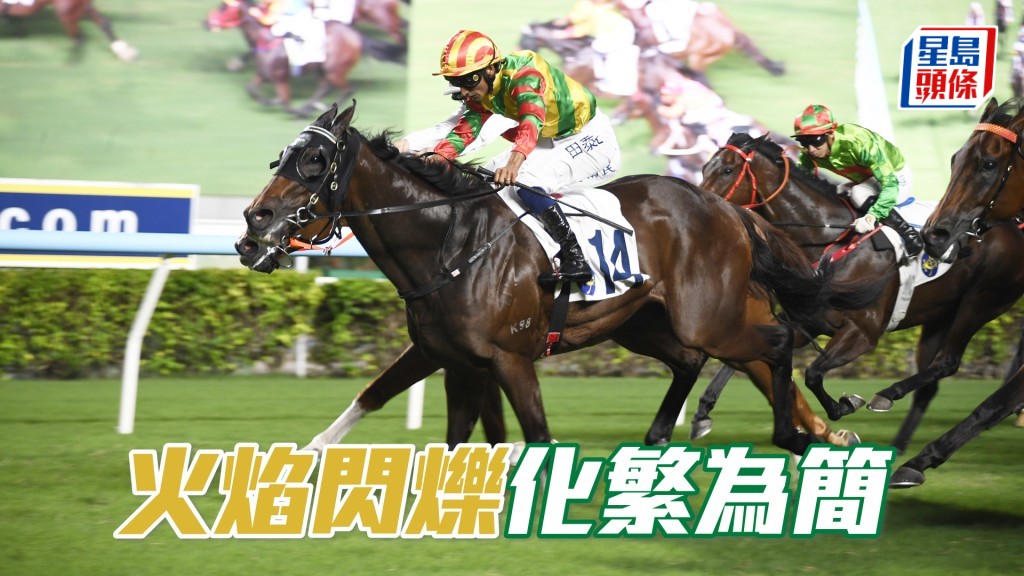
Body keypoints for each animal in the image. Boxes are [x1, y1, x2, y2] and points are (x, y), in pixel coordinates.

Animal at [234, 101, 884, 456]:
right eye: (279, 158)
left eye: (314, 162)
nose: (251, 226)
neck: (450, 244)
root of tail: (727, 208)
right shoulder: (449, 357)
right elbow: (380, 400)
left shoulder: (509, 357)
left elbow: (536, 434)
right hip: (642, 321)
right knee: (694, 360)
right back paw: (663, 437)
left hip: (709, 316)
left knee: (773, 343)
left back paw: (801, 432)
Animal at [694, 132, 1024, 456]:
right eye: (705, 167)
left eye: (727, 170)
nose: (702, 206)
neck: (828, 240)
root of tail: (1009, 225)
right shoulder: (807, 322)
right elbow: (748, 357)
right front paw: (702, 414)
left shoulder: (863, 333)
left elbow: (813, 373)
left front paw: (844, 406)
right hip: (939, 315)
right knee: (930, 381)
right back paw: (898, 445)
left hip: (980, 304)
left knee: (948, 362)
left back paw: (887, 396)